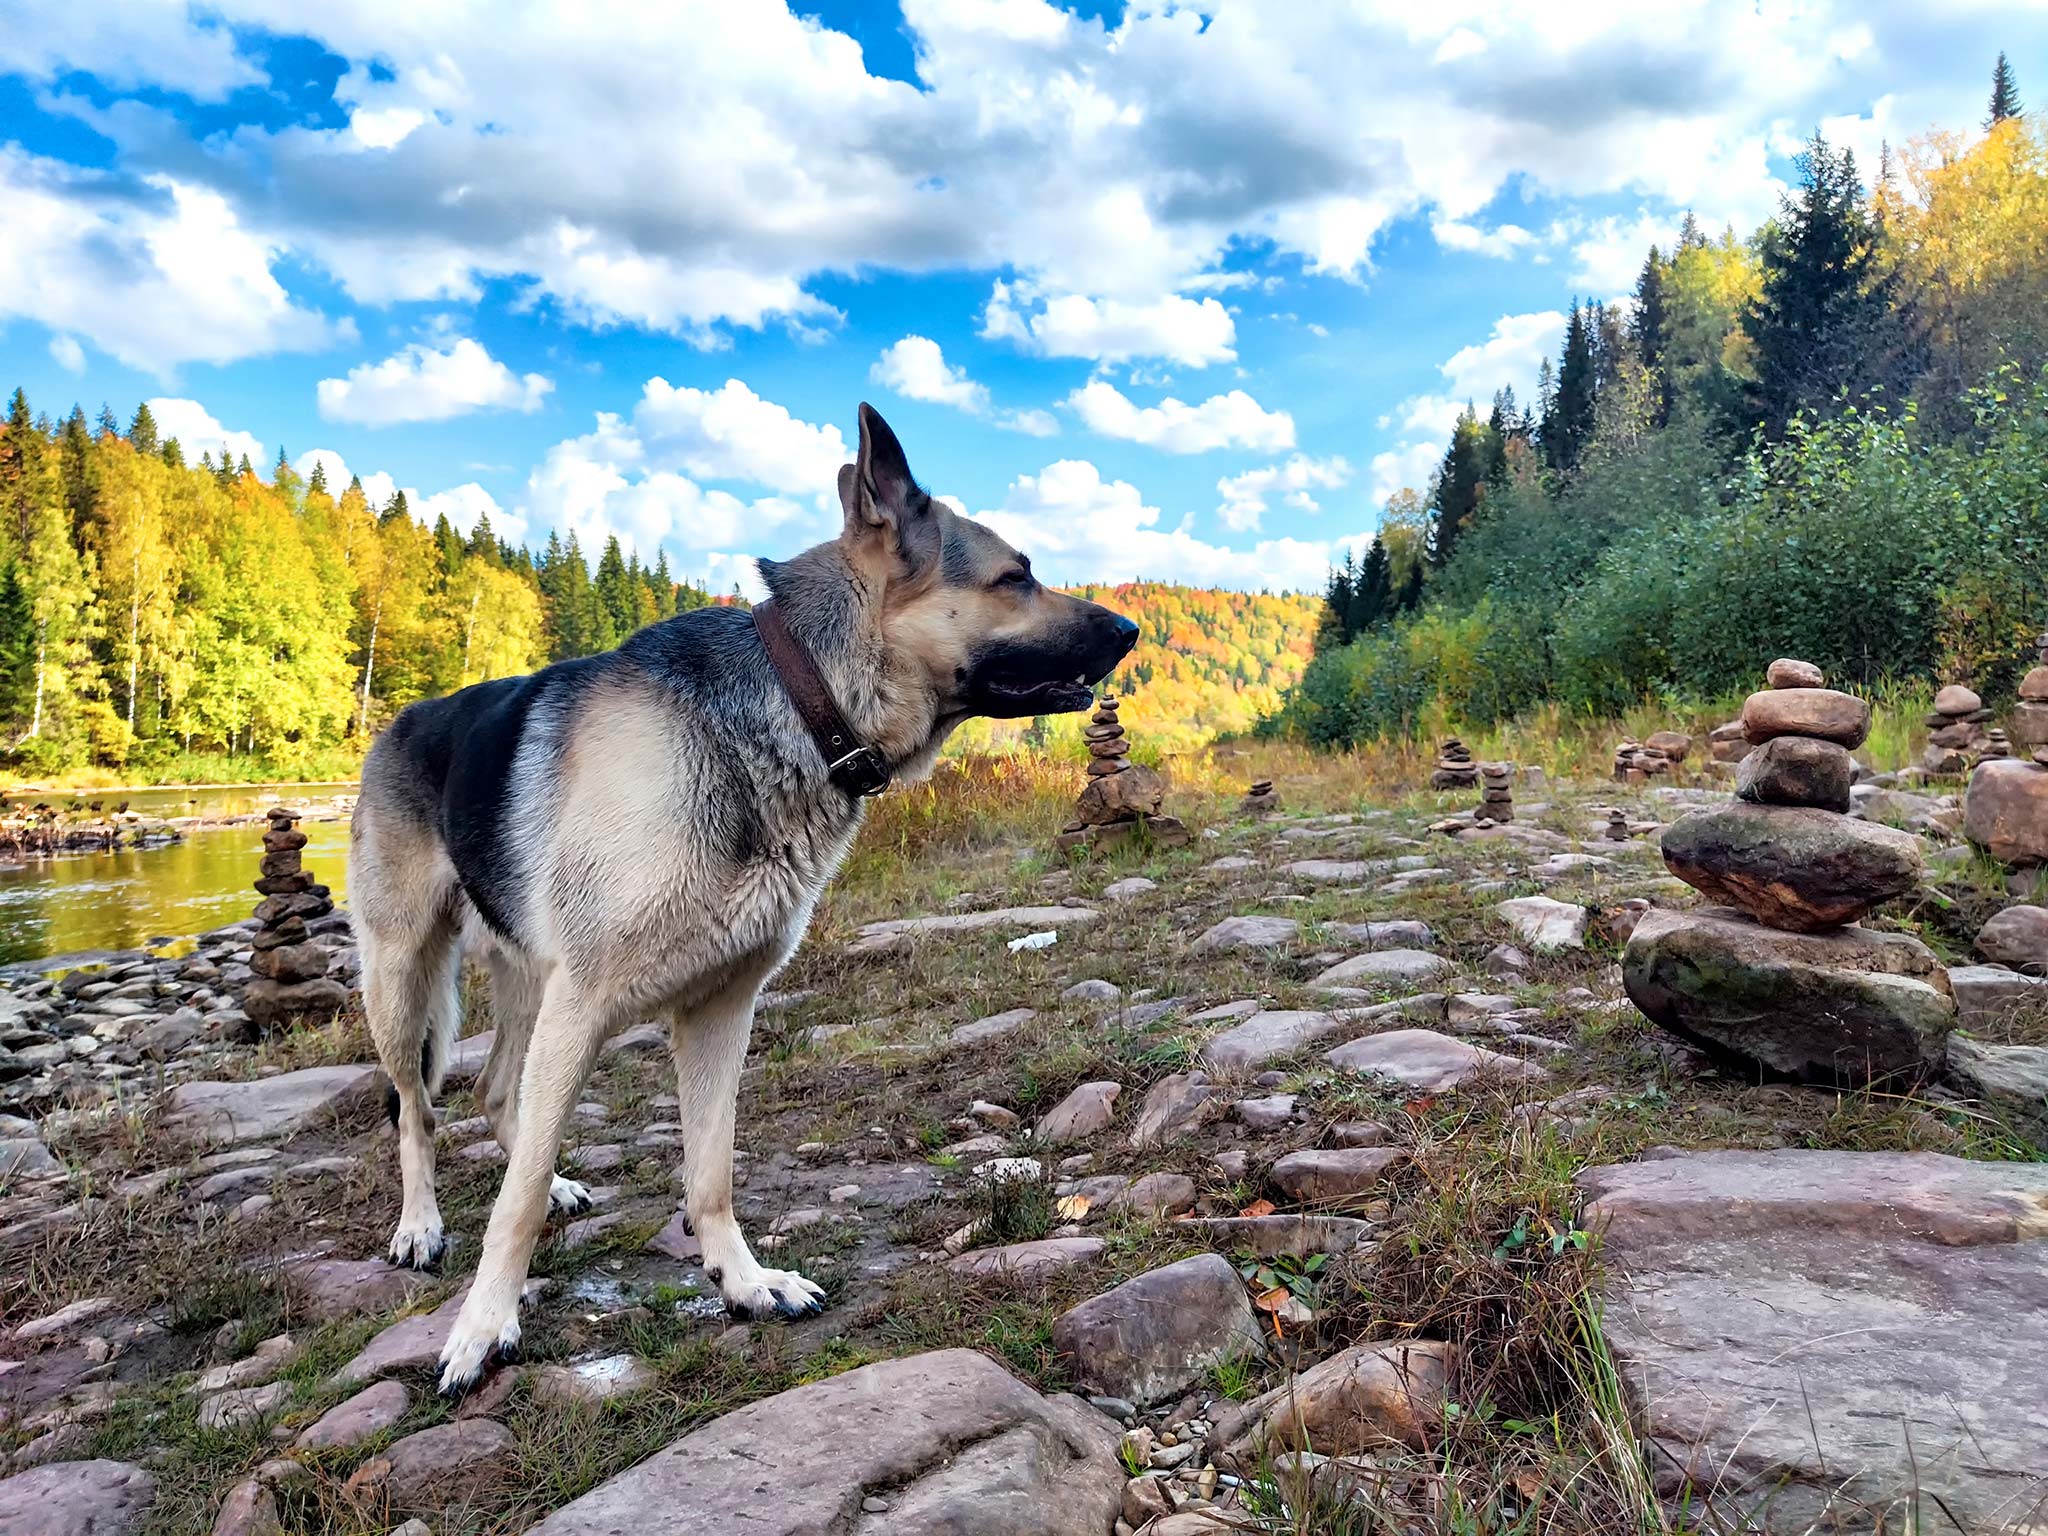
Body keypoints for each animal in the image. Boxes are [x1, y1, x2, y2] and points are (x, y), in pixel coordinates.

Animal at [358, 403, 1146, 1392]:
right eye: (1016, 576)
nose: (1130, 629)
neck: (802, 700)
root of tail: (397, 722)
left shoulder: (720, 1009)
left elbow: (709, 1172)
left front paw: (744, 1281)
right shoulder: (584, 1007)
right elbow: (518, 1198)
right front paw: (482, 1327)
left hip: (527, 982)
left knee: (499, 1093)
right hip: (403, 981)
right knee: (416, 1109)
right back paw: (418, 1226)